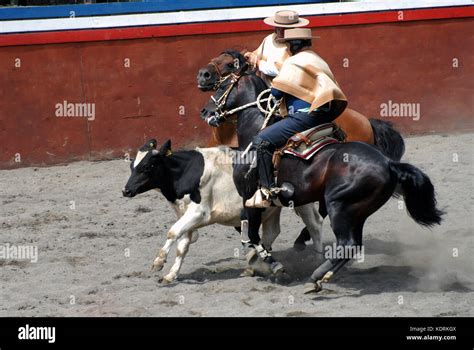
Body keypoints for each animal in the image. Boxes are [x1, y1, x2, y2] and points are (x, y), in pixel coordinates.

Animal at [121, 138, 322, 284]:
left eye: (146, 166)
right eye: (131, 166)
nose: (126, 190)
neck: (186, 172)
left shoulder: (198, 213)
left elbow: (173, 232)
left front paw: (158, 262)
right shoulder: (186, 215)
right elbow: (182, 246)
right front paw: (171, 274)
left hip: (301, 202)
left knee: (315, 225)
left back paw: (316, 261)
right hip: (268, 209)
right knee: (271, 233)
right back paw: (256, 263)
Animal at [198, 48, 442, 290]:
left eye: (222, 85)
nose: (206, 111)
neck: (255, 130)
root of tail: (389, 163)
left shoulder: (249, 196)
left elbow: (252, 235)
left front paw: (273, 267)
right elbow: (253, 234)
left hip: (340, 206)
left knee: (346, 243)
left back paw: (316, 275)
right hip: (358, 211)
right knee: (352, 245)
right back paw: (320, 274)